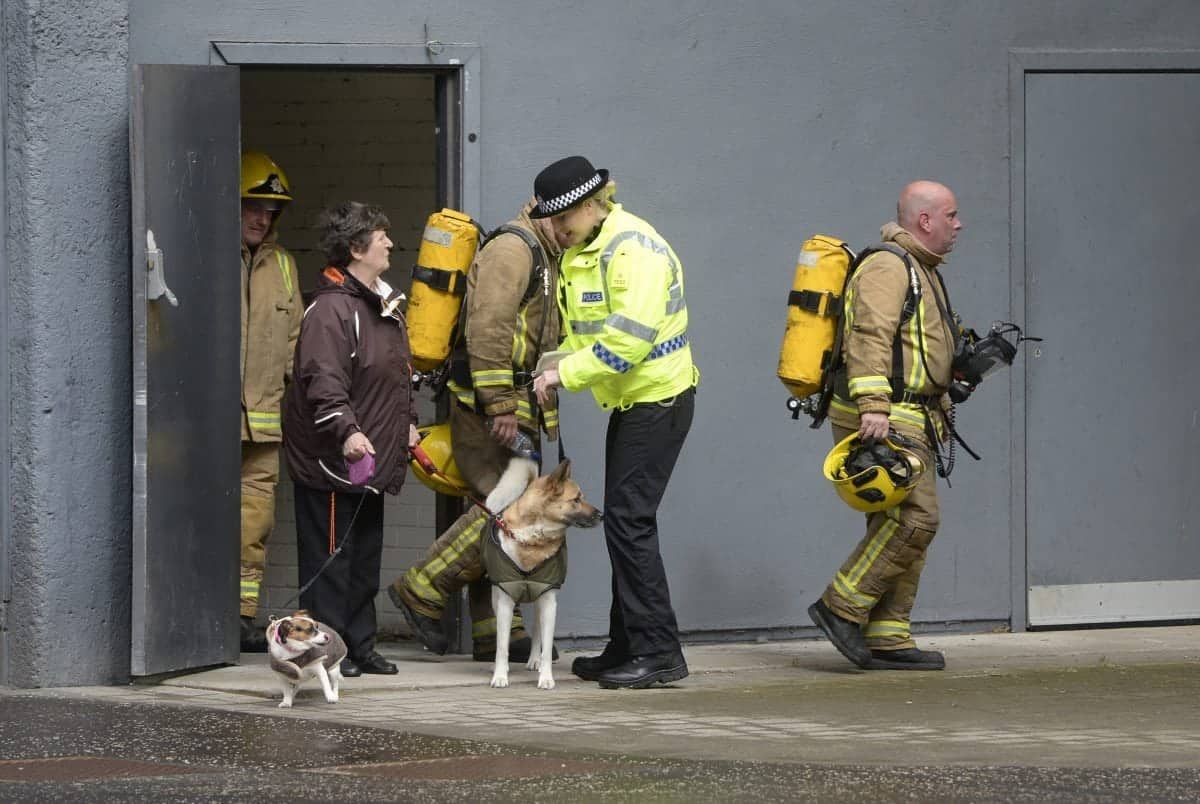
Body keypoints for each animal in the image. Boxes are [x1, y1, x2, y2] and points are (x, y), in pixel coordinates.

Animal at [482, 460, 604, 691]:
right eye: (576, 499)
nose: (602, 515)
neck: (533, 539)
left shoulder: (548, 600)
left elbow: (547, 647)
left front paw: (546, 677)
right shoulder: (504, 601)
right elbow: (502, 645)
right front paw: (500, 675)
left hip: (541, 600)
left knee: (537, 630)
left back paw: (534, 661)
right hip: (496, 598)